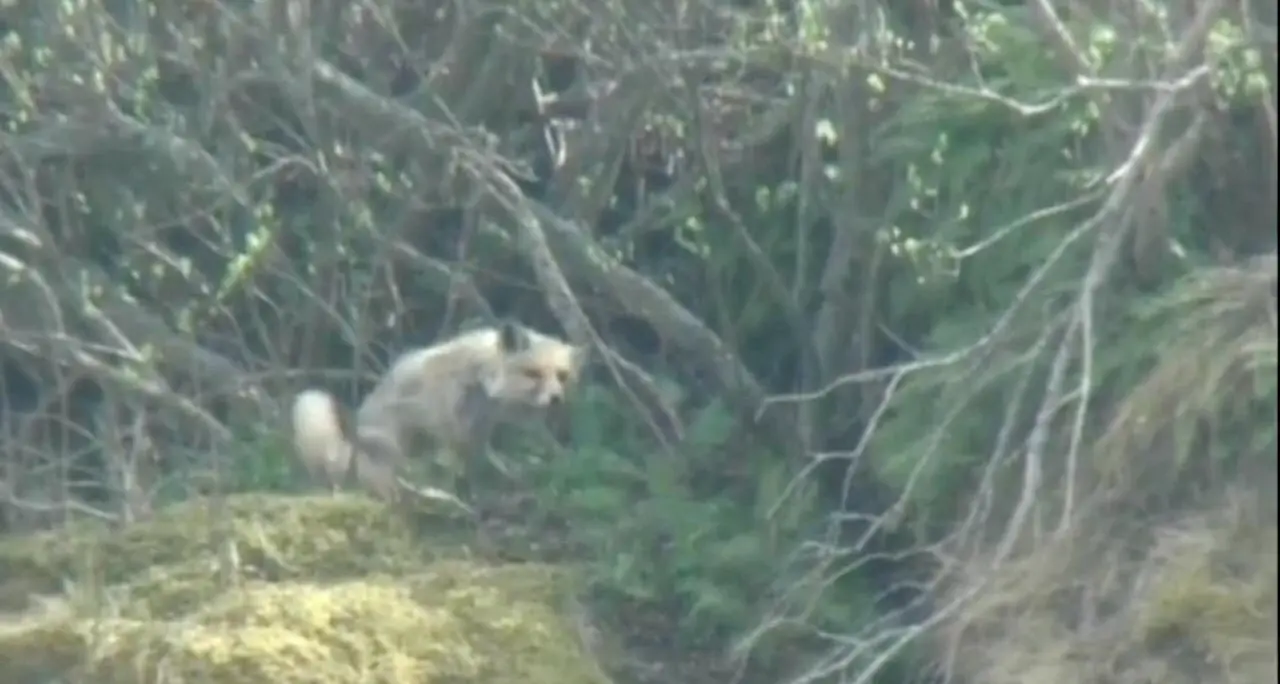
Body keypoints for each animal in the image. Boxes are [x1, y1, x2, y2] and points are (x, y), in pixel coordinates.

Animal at [290, 320, 586, 500]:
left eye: (562, 376)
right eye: (533, 374)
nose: (555, 399)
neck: (480, 379)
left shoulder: (476, 434)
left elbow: (479, 469)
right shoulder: (447, 427)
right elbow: (456, 471)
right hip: (388, 444)